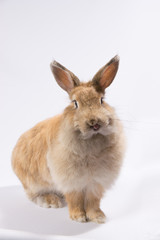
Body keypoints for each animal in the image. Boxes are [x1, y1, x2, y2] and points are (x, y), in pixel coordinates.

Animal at [11, 55, 125, 224]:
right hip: (32, 182)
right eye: (75, 103)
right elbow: (75, 199)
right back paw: (51, 201)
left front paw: (98, 217)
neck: (91, 140)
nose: (94, 123)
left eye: (102, 100)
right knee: (33, 195)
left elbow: (93, 200)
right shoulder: (71, 180)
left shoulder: (96, 182)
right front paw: (78, 217)